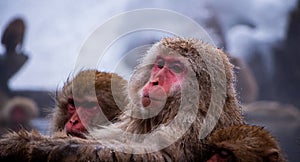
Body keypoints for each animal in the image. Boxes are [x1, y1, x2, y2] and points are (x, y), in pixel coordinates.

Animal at [0, 37, 244, 161]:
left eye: (176, 68)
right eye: (160, 65)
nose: (154, 82)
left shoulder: (192, 126)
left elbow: (154, 157)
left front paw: (39, 146)